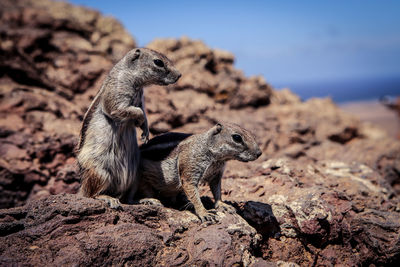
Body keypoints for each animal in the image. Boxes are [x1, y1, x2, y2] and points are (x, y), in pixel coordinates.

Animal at [76, 47, 181, 208]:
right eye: (158, 62)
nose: (179, 75)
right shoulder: (118, 93)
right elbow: (129, 110)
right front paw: (141, 122)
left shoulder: (141, 100)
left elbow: (142, 112)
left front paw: (146, 131)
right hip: (100, 172)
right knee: (92, 194)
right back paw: (108, 198)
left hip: (136, 176)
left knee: (128, 199)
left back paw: (147, 200)